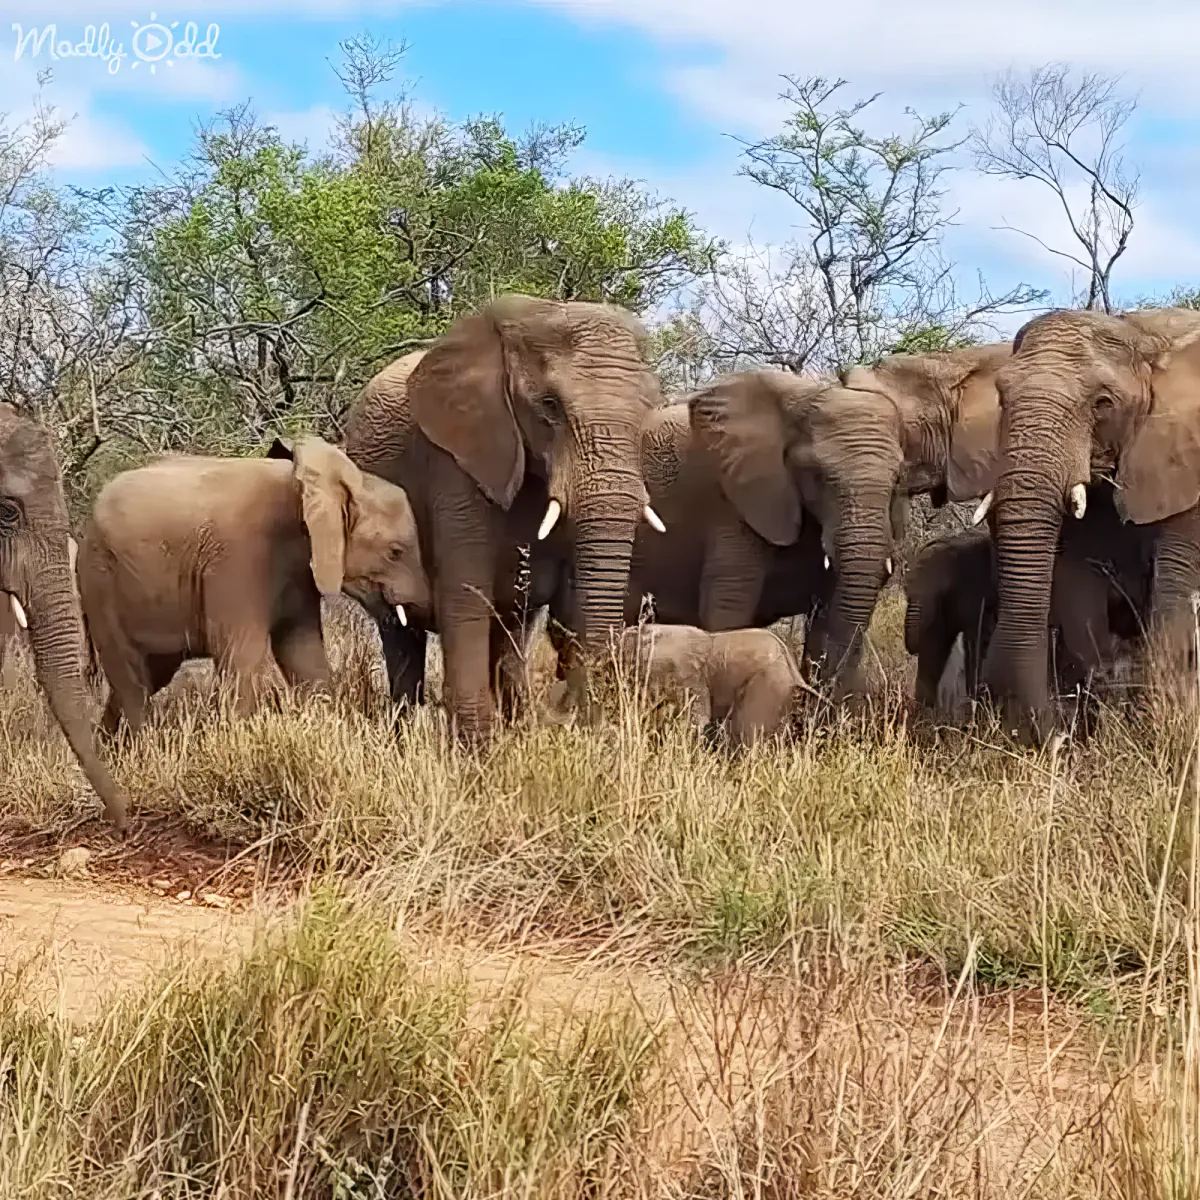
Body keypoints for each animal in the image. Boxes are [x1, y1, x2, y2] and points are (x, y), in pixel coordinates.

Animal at [78, 436, 429, 734]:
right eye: (395, 552)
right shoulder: (238, 561)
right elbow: (240, 655)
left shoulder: (297, 574)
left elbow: (303, 652)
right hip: (100, 583)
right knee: (132, 680)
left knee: (151, 675)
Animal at [342, 295, 664, 740]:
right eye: (550, 405)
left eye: (646, 410)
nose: (573, 719)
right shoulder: (452, 463)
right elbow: (465, 596)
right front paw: (477, 751)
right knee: (401, 636)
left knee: (510, 632)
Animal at [983, 306, 1200, 737]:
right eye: (1001, 396)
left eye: (1103, 402)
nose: (1056, 736)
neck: (1141, 334)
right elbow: (1079, 586)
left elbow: (1176, 592)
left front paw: (1162, 723)